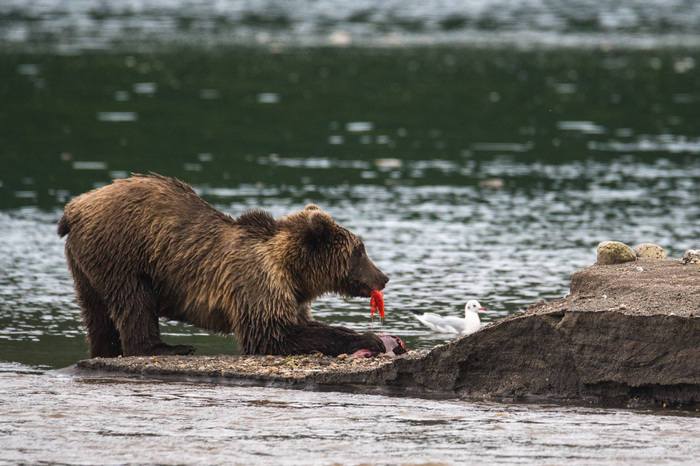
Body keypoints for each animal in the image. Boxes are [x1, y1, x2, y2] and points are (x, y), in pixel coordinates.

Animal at [57, 173, 392, 358]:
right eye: (360, 250)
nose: (384, 277)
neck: (292, 270)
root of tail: (74, 208)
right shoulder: (257, 281)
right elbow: (274, 335)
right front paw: (370, 339)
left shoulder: (290, 294)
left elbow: (303, 324)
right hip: (123, 251)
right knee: (134, 301)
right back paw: (168, 347)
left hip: (85, 263)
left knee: (97, 313)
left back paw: (106, 350)